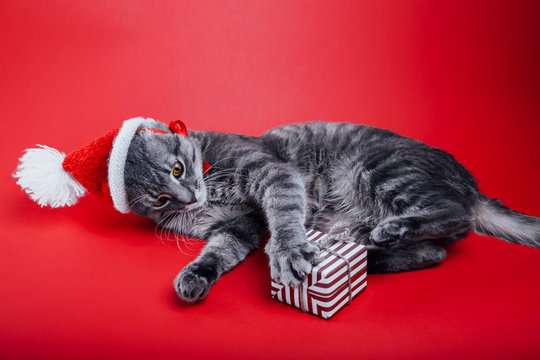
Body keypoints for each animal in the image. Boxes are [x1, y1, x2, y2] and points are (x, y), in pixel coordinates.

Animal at [123, 120, 540, 300]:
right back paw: (370, 252)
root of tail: (472, 185)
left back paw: (388, 232)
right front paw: (195, 278)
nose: (188, 198)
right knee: (435, 251)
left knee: (456, 214)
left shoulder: (272, 174)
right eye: (159, 200)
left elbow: (284, 212)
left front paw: (288, 250)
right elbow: (218, 253)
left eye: (178, 169)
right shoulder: (235, 227)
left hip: (378, 169)